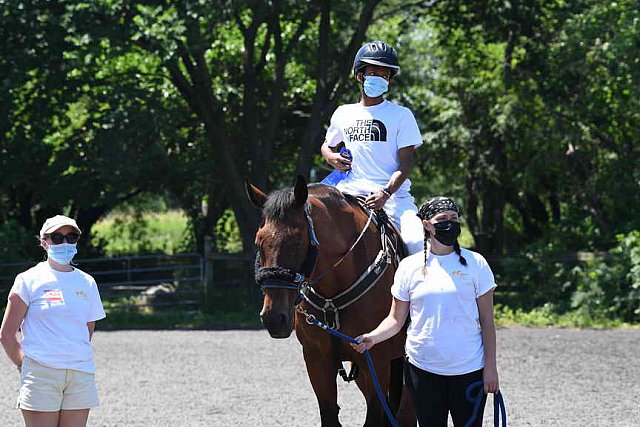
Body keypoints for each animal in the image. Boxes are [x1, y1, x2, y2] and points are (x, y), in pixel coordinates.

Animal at [245, 176, 416, 426]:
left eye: (297, 241)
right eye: (259, 242)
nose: (274, 318)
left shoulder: (376, 359)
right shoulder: (318, 360)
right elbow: (329, 414)